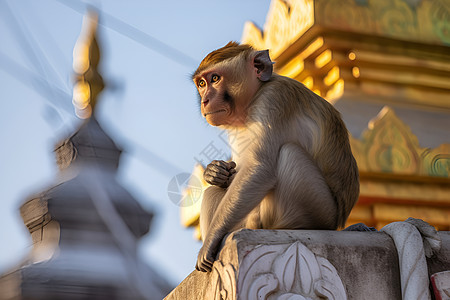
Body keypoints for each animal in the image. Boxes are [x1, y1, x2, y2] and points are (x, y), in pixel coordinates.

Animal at [192, 41, 358, 274]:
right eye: (201, 83)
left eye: (215, 78)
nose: (205, 100)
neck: (252, 100)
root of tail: (339, 219)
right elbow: (236, 172)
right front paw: (214, 172)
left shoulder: (274, 98)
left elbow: (259, 169)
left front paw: (210, 241)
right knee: (214, 192)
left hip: (321, 209)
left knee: (289, 154)